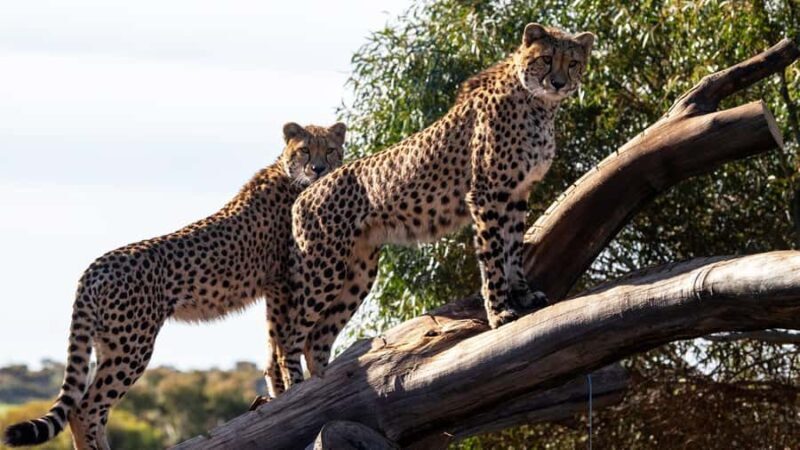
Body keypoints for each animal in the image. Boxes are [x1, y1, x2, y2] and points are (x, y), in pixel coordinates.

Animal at [3, 122, 346, 450]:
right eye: (305, 150)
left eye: (330, 150)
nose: (318, 168)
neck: (289, 175)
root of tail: (94, 267)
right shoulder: (281, 282)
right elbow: (281, 339)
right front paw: (289, 391)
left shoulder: (274, 286)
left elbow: (273, 341)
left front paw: (279, 395)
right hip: (132, 344)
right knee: (85, 409)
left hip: (108, 344)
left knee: (96, 409)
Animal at [279, 24, 595, 386]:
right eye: (546, 58)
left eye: (572, 62)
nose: (558, 82)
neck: (539, 105)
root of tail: (306, 191)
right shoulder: (487, 194)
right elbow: (493, 258)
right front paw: (499, 312)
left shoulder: (517, 195)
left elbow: (513, 251)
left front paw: (524, 295)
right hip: (325, 266)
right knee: (289, 335)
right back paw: (293, 391)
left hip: (359, 270)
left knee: (317, 338)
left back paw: (324, 383)